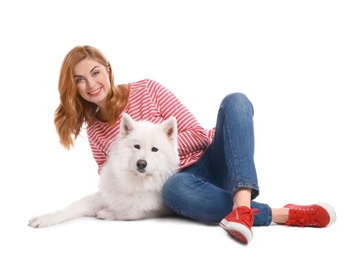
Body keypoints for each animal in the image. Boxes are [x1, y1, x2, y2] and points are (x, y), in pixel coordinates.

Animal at [28, 114, 179, 228]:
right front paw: (44, 218)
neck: (135, 181)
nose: (141, 163)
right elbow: (70, 208)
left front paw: (107, 213)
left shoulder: (158, 208)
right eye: (137, 146)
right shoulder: (104, 195)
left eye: (154, 149)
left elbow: (131, 212)